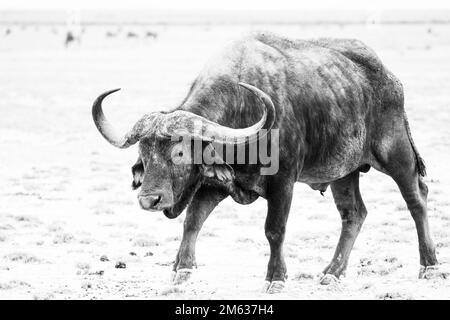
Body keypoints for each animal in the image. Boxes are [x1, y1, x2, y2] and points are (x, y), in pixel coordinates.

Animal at [92, 31, 440, 292]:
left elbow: (274, 229)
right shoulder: (218, 183)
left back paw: (429, 265)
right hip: (345, 171)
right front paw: (183, 269)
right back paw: (332, 272)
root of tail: (390, 79)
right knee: (354, 213)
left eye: (179, 153)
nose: (149, 199)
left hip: (395, 152)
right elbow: (193, 220)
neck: (243, 108)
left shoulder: (283, 182)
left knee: (416, 198)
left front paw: (276, 277)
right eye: (143, 155)